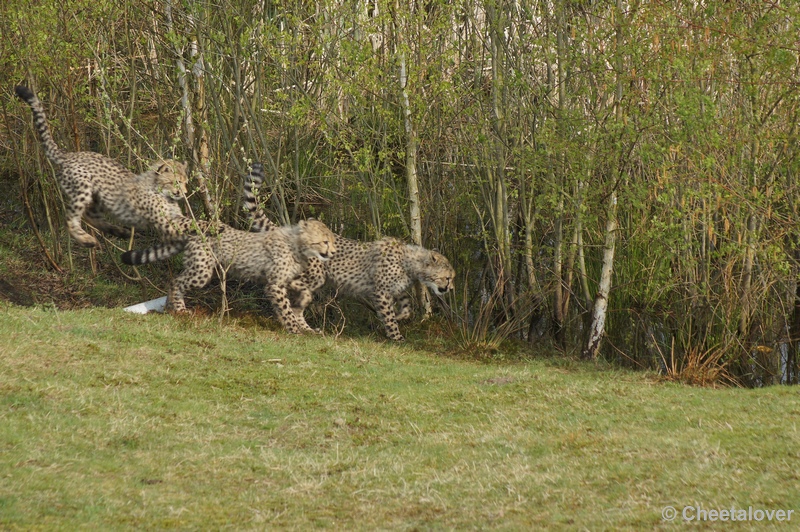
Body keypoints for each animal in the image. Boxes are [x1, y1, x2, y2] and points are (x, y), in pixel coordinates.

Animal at [15, 85, 206, 247]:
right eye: (175, 182)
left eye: (185, 182)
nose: (183, 193)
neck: (159, 189)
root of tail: (70, 154)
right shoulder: (163, 220)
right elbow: (186, 229)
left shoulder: (174, 217)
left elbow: (195, 223)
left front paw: (209, 227)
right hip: (82, 188)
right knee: (71, 218)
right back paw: (86, 239)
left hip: (98, 198)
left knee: (89, 216)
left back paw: (119, 231)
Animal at [122, 219, 338, 332]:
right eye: (325, 242)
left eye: (332, 241)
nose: (333, 252)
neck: (298, 246)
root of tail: (205, 223)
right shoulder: (274, 284)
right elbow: (285, 308)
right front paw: (295, 328)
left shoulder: (284, 280)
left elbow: (302, 291)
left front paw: (305, 318)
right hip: (201, 271)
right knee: (175, 281)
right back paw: (179, 309)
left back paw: (170, 307)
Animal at [244, 163, 456, 340]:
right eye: (447, 278)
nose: (451, 288)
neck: (412, 263)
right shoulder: (380, 291)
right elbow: (389, 316)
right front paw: (396, 336)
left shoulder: (395, 289)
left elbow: (406, 307)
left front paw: (400, 316)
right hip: (315, 273)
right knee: (285, 286)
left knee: (296, 307)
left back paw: (308, 329)